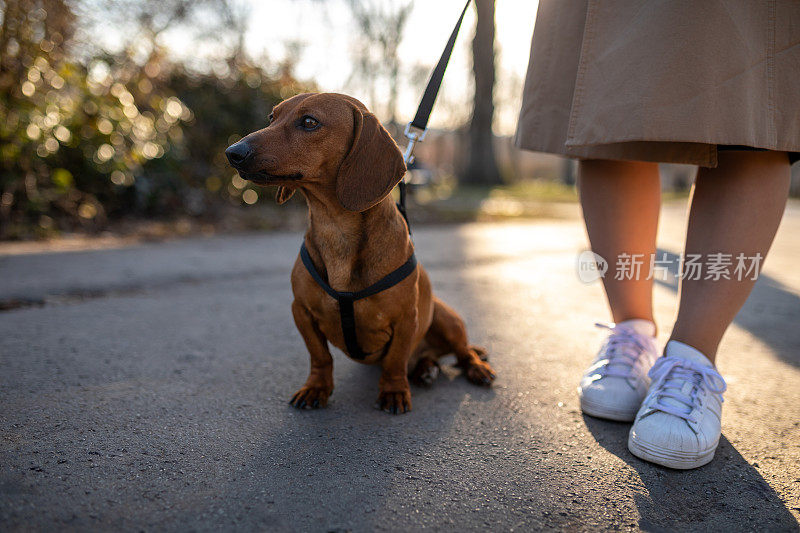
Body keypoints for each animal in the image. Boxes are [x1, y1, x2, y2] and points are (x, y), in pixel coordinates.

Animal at [225, 93, 494, 414]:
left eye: (309, 122)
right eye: (271, 117)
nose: (232, 152)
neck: (336, 228)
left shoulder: (407, 319)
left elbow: (395, 361)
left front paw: (393, 391)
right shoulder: (301, 311)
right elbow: (320, 357)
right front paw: (316, 388)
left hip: (447, 319)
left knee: (462, 352)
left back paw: (475, 368)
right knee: (427, 359)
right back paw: (426, 369)